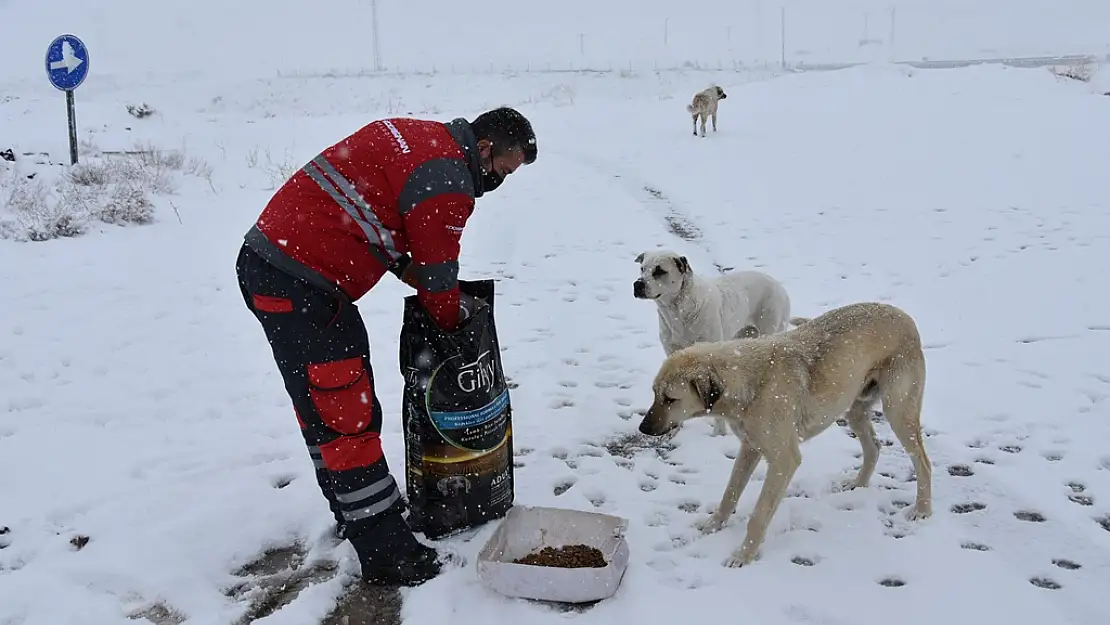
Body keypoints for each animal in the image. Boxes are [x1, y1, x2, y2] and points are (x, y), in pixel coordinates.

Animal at [630, 249, 803, 435]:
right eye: (642, 268)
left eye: (660, 271)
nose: (637, 284)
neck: (679, 311)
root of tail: (778, 285)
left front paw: (718, 433)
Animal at [639, 301, 932, 568]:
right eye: (654, 393)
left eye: (670, 399)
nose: (643, 429)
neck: (749, 382)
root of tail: (906, 317)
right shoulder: (750, 448)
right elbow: (730, 492)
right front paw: (714, 524)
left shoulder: (783, 459)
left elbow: (759, 514)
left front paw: (743, 556)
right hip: (855, 409)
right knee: (874, 446)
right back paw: (858, 484)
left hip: (898, 411)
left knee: (923, 462)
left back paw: (922, 510)